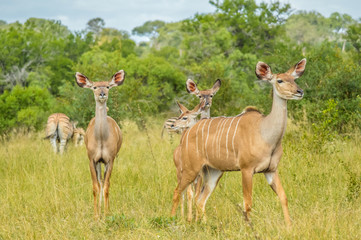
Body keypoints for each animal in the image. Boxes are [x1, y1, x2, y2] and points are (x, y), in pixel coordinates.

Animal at [74, 70, 124, 218]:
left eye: (107, 86)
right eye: (94, 87)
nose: (102, 94)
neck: (101, 139)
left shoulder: (110, 160)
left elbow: (107, 186)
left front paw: (106, 214)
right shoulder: (92, 159)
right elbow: (95, 187)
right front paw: (96, 215)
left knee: (104, 182)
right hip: (98, 163)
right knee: (100, 182)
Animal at [170, 58, 306, 225]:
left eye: (294, 79)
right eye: (279, 80)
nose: (300, 92)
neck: (265, 134)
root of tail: (187, 133)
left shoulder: (271, 170)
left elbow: (283, 197)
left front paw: (289, 226)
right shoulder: (246, 169)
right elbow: (247, 203)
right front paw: (249, 228)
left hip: (213, 172)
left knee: (200, 200)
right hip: (191, 169)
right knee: (178, 192)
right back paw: (171, 220)